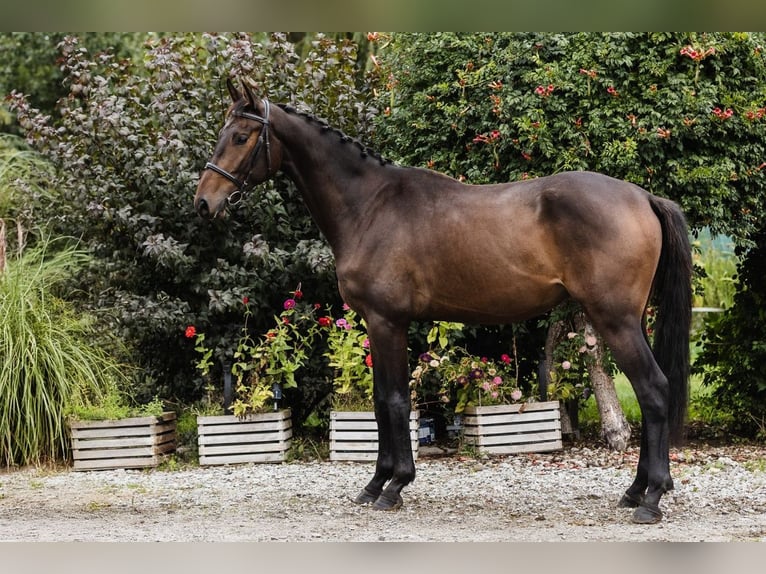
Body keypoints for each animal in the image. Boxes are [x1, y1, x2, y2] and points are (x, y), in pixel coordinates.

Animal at [194, 79, 692, 525]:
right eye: (222, 131)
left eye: (241, 136)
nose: (203, 203)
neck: (369, 205)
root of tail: (643, 196)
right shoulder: (379, 324)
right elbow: (381, 400)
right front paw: (376, 483)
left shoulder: (386, 321)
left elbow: (394, 400)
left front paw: (393, 486)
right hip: (630, 319)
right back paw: (637, 490)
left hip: (615, 320)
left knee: (653, 390)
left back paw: (650, 499)